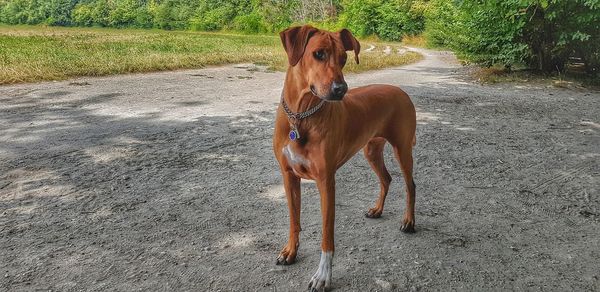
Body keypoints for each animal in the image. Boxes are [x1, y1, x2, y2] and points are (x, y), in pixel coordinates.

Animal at [274, 25, 418, 292]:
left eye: (343, 58)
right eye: (318, 54)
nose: (341, 89)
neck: (301, 116)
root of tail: (401, 90)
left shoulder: (326, 182)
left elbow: (326, 235)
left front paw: (323, 275)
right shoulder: (289, 177)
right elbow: (293, 220)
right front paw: (290, 251)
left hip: (403, 149)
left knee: (410, 185)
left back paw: (409, 221)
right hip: (371, 149)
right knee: (386, 178)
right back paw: (377, 210)